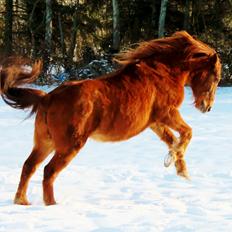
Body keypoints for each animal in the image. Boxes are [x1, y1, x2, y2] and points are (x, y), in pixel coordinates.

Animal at [0, 31, 221, 205]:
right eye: (216, 77)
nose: (208, 107)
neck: (163, 71)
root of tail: (48, 97)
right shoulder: (168, 113)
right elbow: (187, 133)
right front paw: (176, 161)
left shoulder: (154, 122)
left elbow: (172, 139)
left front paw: (179, 168)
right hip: (69, 145)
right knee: (49, 171)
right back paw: (52, 205)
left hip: (45, 142)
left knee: (29, 166)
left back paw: (22, 201)